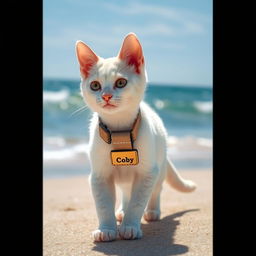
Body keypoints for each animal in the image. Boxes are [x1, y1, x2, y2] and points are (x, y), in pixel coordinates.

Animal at [75, 32, 197, 242]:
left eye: (120, 83)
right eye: (95, 85)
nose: (106, 96)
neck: (119, 132)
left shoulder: (147, 173)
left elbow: (138, 201)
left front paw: (130, 225)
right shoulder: (99, 175)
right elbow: (103, 204)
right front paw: (106, 228)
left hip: (158, 167)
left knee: (156, 191)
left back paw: (153, 211)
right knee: (126, 191)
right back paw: (122, 210)